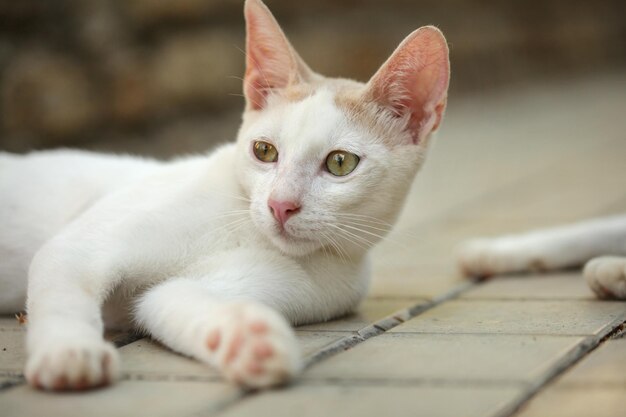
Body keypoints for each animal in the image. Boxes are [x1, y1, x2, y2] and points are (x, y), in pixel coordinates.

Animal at [0, 0, 448, 390]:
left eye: (340, 163)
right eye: (264, 151)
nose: (280, 205)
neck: (245, 230)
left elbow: (169, 299)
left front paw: (246, 341)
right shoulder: (79, 246)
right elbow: (64, 295)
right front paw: (69, 354)